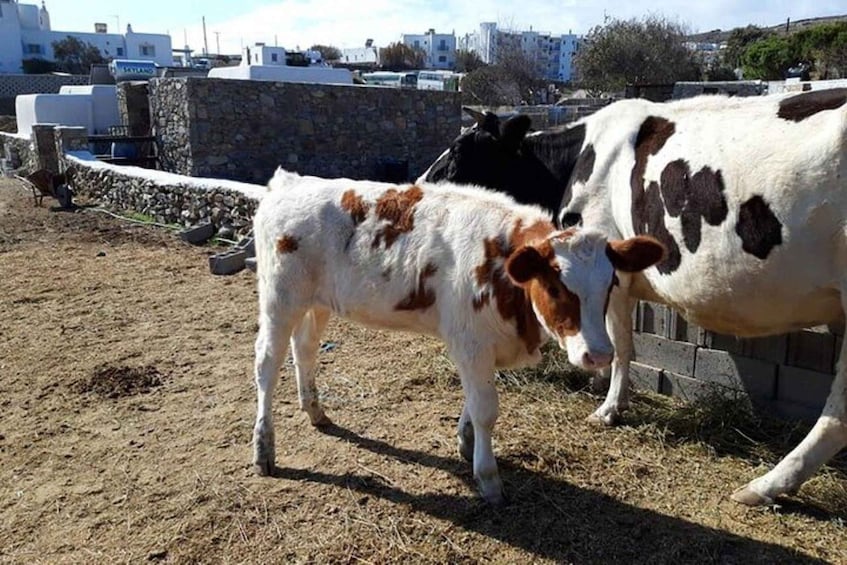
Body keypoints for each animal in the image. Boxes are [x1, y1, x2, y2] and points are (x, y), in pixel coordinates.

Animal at [251, 167, 664, 504]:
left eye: (611, 283)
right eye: (554, 287)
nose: (599, 355)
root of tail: (289, 182)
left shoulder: (482, 345)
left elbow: (473, 401)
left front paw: (467, 442)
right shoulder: (471, 342)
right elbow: (486, 409)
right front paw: (488, 477)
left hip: (317, 302)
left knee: (305, 348)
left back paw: (315, 410)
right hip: (279, 299)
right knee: (267, 364)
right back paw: (264, 448)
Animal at [418, 89, 847, 506]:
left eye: (458, 152)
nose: (419, 186)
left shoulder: (615, 273)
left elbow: (621, 343)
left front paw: (610, 406)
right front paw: (600, 385)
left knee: (838, 414)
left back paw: (766, 485)